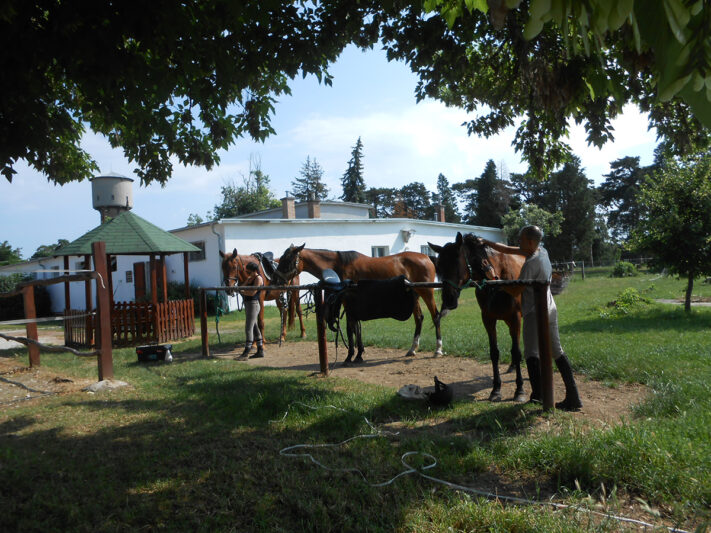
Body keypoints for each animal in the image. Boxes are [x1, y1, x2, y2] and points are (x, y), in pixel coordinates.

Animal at [276, 244, 442, 362]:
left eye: (288, 260)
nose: (277, 281)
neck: (338, 266)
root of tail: (427, 257)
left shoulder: (347, 302)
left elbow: (351, 328)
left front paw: (351, 355)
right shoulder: (351, 304)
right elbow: (356, 328)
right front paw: (359, 354)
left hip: (427, 292)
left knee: (436, 316)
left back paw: (438, 350)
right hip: (415, 296)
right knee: (419, 318)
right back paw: (412, 349)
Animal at [428, 231, 528, 402]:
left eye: (456, 262)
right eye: (439, 267)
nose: (448, 299)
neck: (497, 281)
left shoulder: (515, 318)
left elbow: (516, 352)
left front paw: (519, 390)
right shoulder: (488, 319)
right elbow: (494, 353)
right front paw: (496, 389)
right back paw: (512, 366)